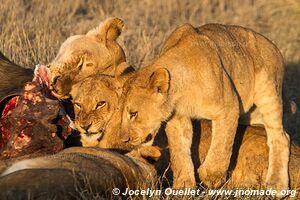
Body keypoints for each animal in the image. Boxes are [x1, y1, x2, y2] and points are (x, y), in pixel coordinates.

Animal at [118, 23, 290, 194]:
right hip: (251, 114)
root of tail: (273, 46)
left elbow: (221, 147)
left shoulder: (229, 108)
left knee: (280, 137)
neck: (180, 91)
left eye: (133, 114)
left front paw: (211, 178)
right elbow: (180, 152)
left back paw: (276, 184)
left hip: (268, 93)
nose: (124, 139)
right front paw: (183, 186)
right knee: (285, 135)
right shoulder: (177, 118)